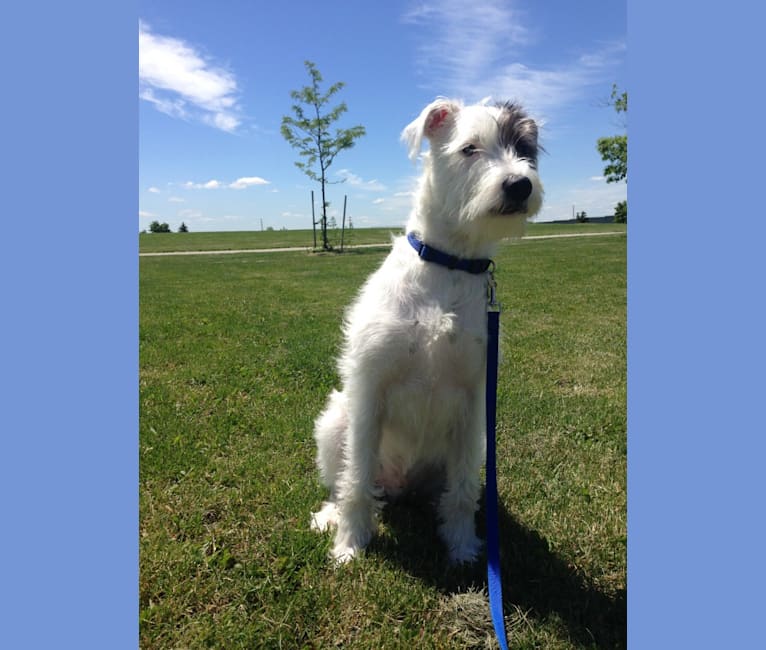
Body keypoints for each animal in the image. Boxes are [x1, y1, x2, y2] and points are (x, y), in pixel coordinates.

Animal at [308, 96, 544, 560]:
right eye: (469, 148)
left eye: (525, 149)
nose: (519, 185)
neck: (449, 265)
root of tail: (401, 486)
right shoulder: (370, 391)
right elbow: (355, 481)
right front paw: (350, 545)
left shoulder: (474, 402)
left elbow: (464, 493)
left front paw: (462, 547)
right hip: (334, 421)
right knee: (345, 482)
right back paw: (332, 517)